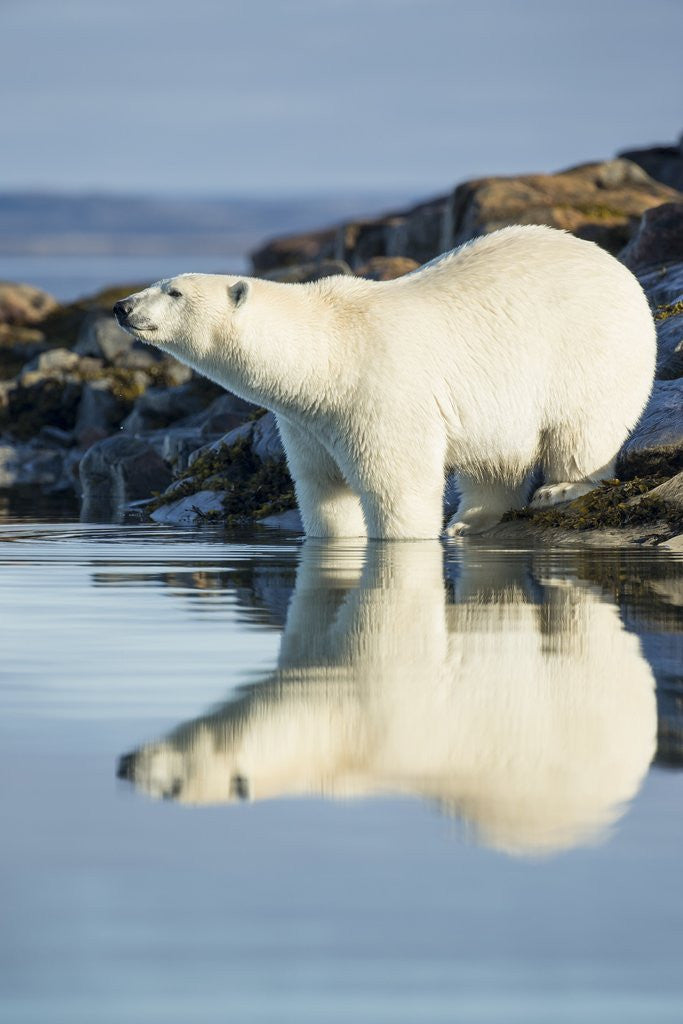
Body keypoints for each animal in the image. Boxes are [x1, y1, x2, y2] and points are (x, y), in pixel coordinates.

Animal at [113, 225, 656, 539]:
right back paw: (470, 520)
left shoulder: (381, 391)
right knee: (493, 460)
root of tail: (618, 266)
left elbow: (399, 484)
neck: (327, 351)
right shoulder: (308, 422)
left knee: (583, 427)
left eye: (173, 291)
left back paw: (559, 489)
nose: (122, 306)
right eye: (159, 283)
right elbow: (322, 489)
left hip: (588, 348)